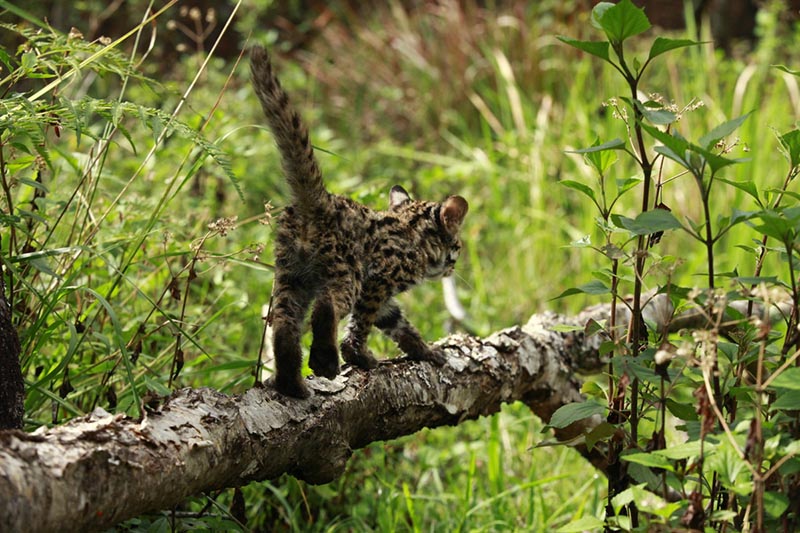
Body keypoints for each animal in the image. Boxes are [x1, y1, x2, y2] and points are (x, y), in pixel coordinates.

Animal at [250, 47, 468, 396]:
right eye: (457, 246)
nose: (452, 267)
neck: (413, 234)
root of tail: (317, 201)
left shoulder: (384, 297)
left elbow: (398, 323)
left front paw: (426, 352)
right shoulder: (377, 281)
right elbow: (361, 323)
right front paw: (359, 356)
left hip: (291, 275)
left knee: (283, 323)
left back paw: (291, 384)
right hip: (344, 271)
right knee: (325, 308)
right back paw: (325, 362)